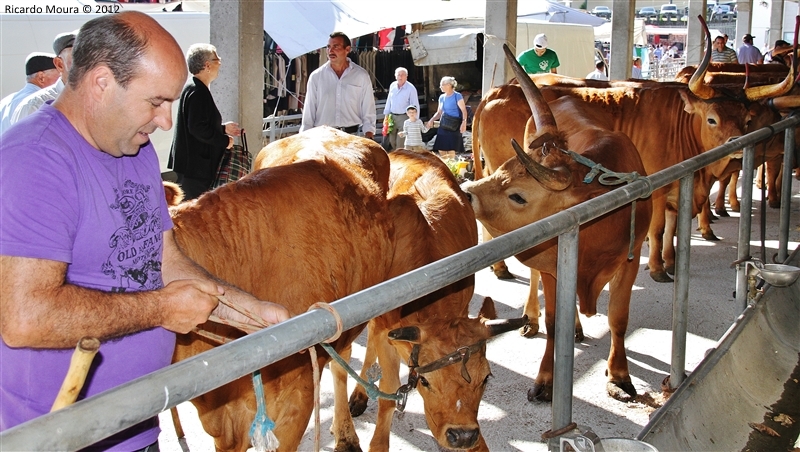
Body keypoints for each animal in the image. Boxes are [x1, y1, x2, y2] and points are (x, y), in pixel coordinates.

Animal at [462, 44, 648, 400]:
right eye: (502, 168)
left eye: (518, 196)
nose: (467, 194)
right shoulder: (551, 265)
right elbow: (553, 322)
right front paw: (547, 379)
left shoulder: (629, 261)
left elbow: (618, 319)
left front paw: (619, 376)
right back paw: (532, 318)